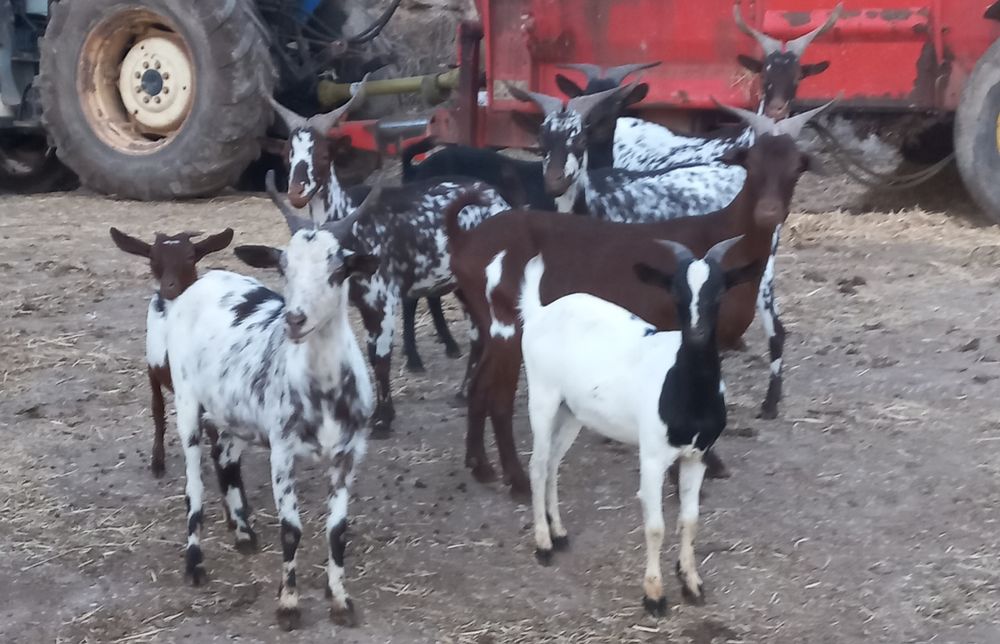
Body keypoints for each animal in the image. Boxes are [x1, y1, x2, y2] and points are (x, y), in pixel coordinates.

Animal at [162, 203, 380, 631]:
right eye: (283, 267)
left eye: (338, 269)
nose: (294, 320)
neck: (322, 391)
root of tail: (207, 278)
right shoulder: (282, 451)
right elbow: (292, 530)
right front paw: (289, 605)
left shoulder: (350, 454)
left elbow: (337, 531)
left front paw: (340, 599)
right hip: (187, 398)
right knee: (194, 481)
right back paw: (194, 563)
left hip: (233, 412)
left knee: (225, 458)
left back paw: (244, 534)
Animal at [266, 171, 510, 437]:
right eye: (284, 268)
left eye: (335, 268)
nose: (295, 318)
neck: (361, 239)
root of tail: (496, 198)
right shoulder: (365, 306)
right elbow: (371, 356)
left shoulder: (382, 302)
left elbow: (381, 358)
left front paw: (382, 421)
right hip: (463, 288)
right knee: (479, 334)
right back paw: (466, 392)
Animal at [445, 102, 832, 499]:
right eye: (750, 165)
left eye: (796, 168)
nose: (768, 213)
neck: (723, 236)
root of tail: (466, 241)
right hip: (508, 325)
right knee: (499, 398)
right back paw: (518, 481)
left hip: (488, 323)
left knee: (478, 387)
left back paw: (480, 466)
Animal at [519, 236, 754, 613]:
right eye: (676, 292)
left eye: (719, 291)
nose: (697, 334)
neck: (684, 390)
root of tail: (540, 311)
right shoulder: (653, 456)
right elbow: (655, 526)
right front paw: (654, 595)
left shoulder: (697, 454)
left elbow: (690, 519)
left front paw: (692, 583)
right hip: (543, 396)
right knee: (538, 465)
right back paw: (543, 544)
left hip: (572, 412)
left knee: (554, 463)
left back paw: (560, 534)